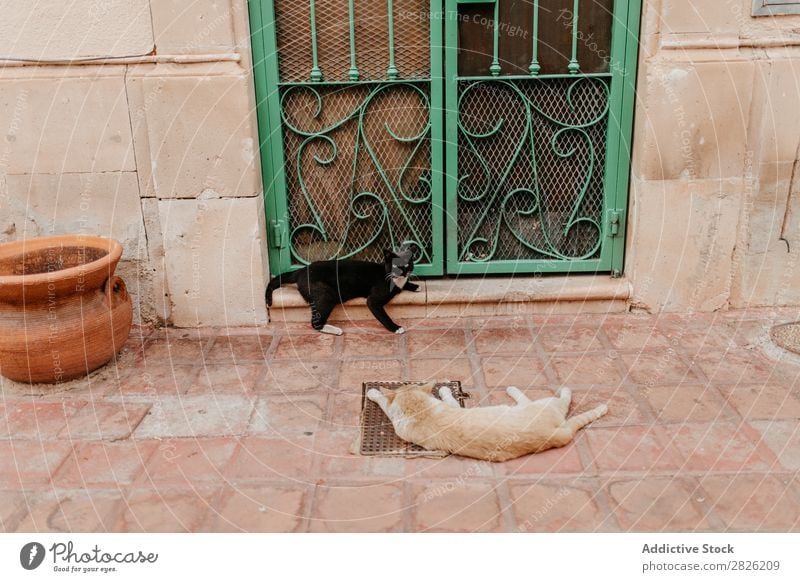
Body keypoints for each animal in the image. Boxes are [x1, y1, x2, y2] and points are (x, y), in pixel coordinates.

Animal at [268, 246, 418, 338]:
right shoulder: (373, 301)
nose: (403, 272)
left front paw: (415, 286)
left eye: (407, 265)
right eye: (395, 265)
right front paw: (396, 328)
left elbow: (404, 284)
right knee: (315, 323)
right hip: (326, 295)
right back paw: (336, 330)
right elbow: (383, 316)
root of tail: (302, 270)